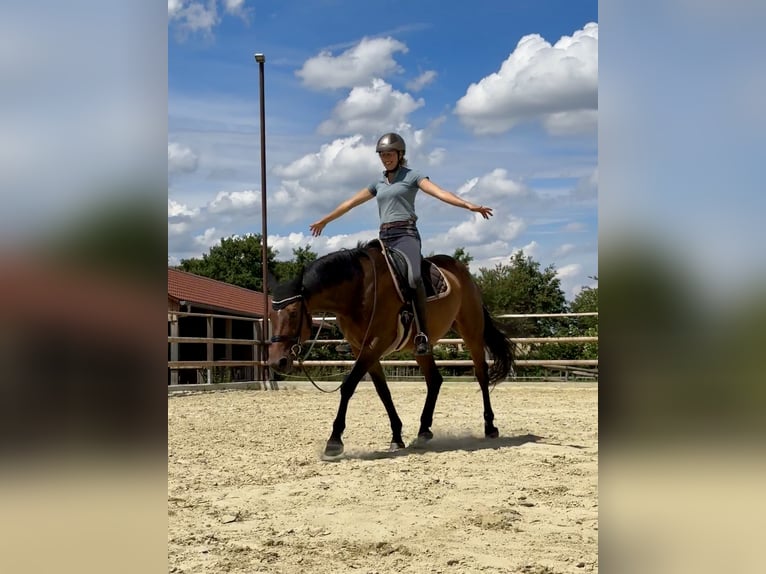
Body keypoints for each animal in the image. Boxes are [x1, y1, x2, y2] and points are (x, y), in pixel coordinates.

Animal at [268, 243, 516, 464]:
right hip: (421, 347)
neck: (359, 291)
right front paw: (397, 437)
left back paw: (490, 427)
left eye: (293, 313)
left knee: (481, 375)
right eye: (270, 315)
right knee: (434, 380)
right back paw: (424, 431)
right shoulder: (362, 348)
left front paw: (334, 441)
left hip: (471, 331)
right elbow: (383, 392)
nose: (277, 361)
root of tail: (461, 271)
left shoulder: (374, 345)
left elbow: (348, 386)